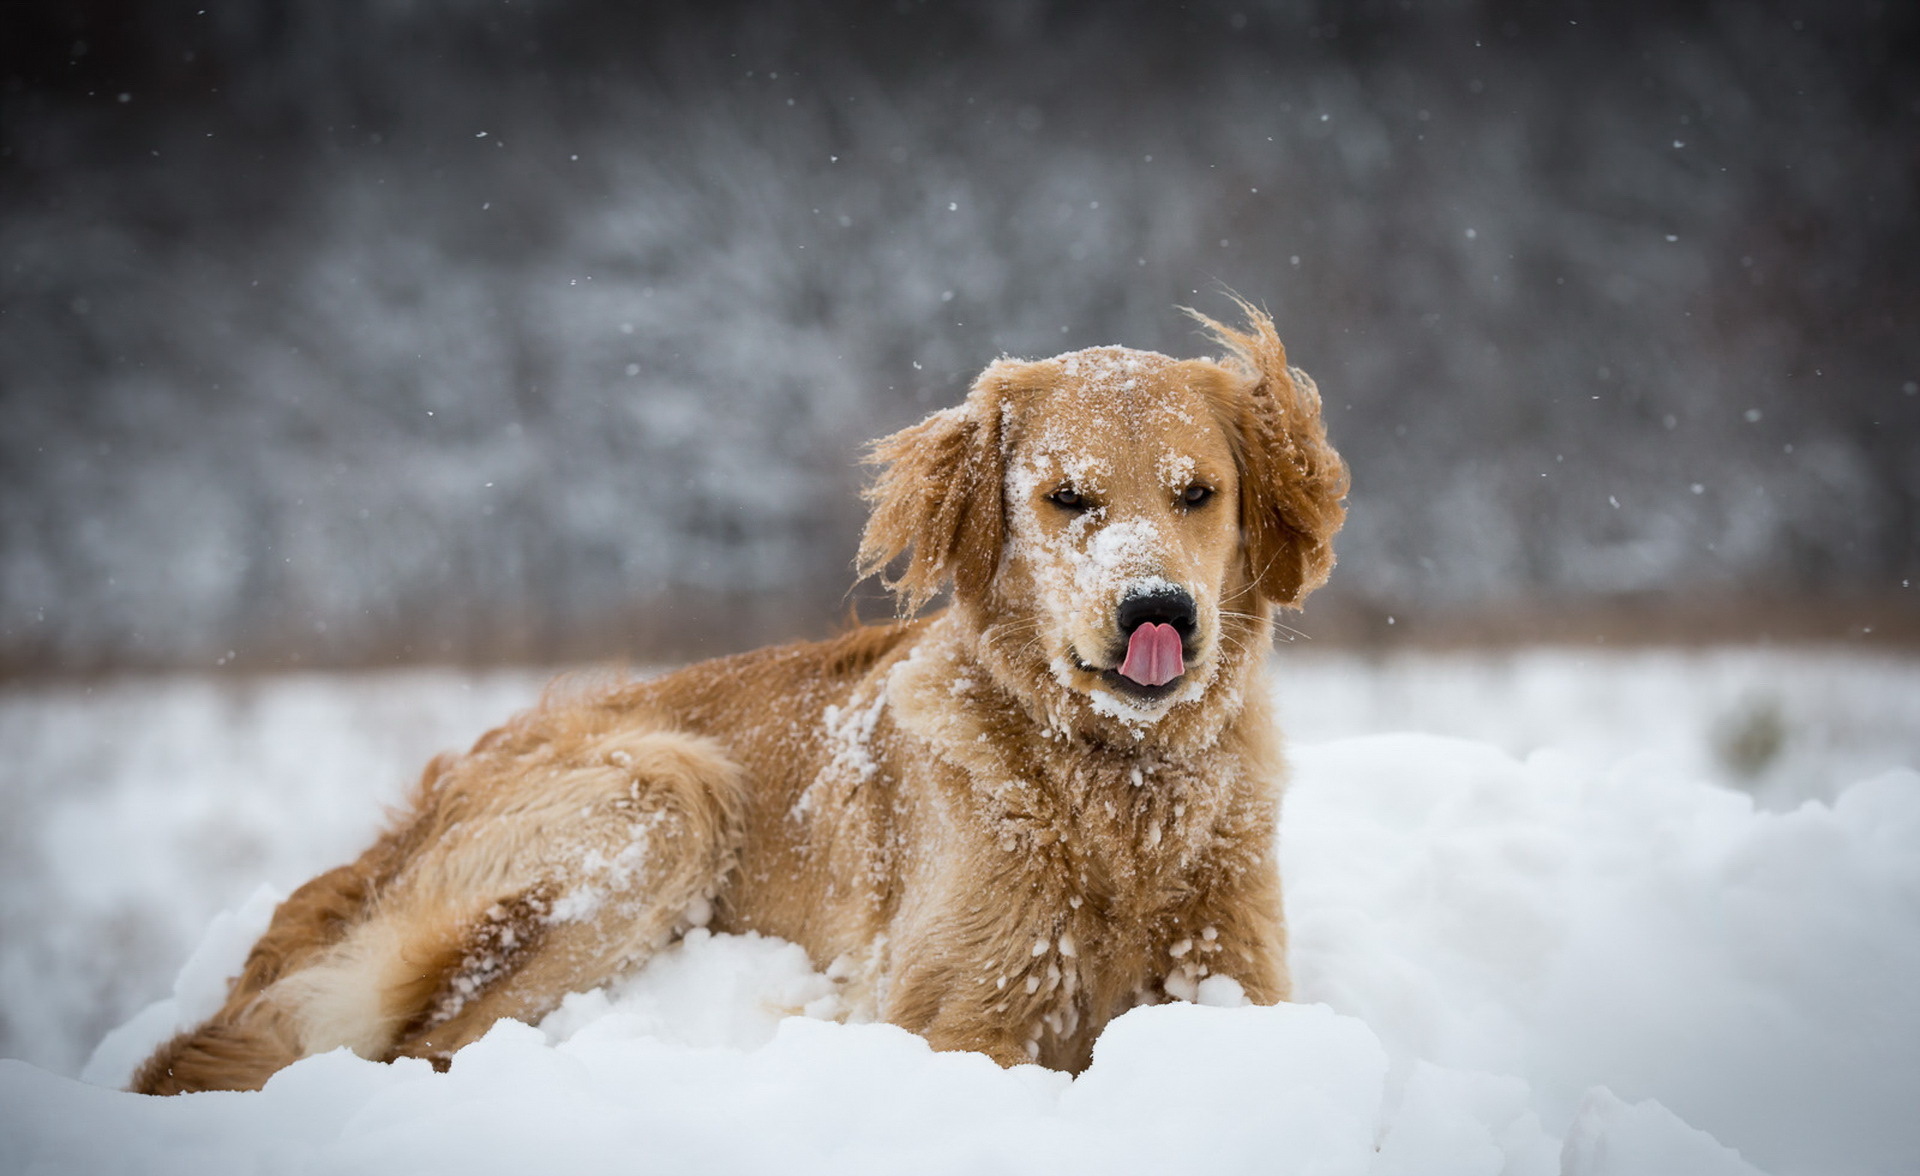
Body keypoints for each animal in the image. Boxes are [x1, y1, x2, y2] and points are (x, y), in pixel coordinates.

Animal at [135, 303, 1344, 1091]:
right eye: (1067, 498)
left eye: (1199, 494)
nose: (1159, 611)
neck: (1118, 785)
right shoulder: (955, 1016)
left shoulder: (1239, 982)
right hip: (663, 797)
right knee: (421, 1046)